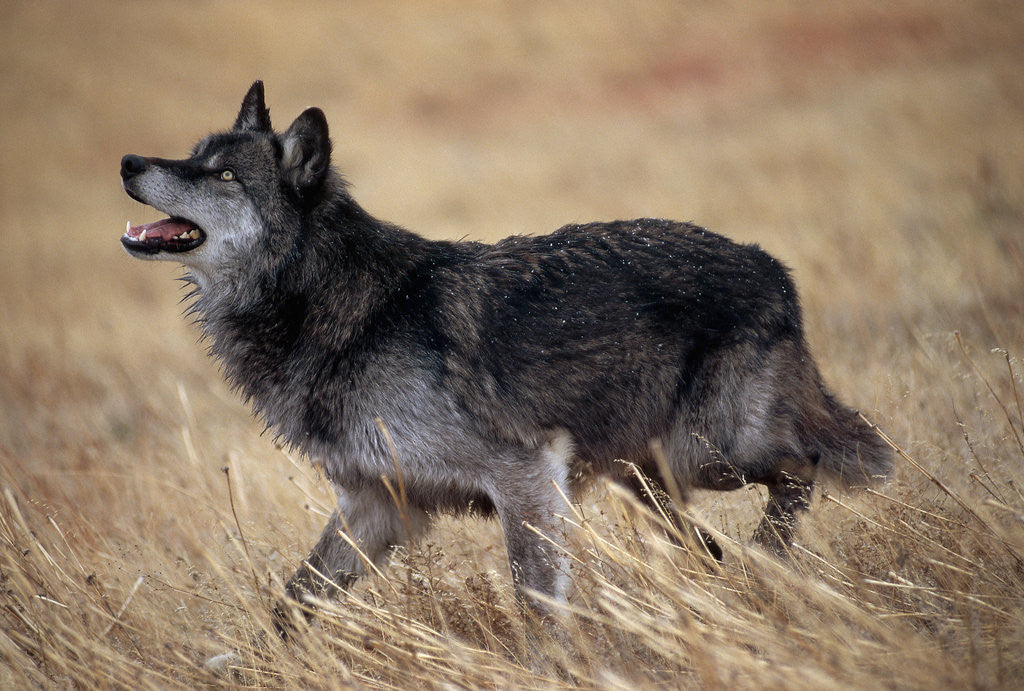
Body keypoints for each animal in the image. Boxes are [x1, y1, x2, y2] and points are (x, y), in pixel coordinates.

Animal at [120, 81, 892, 624]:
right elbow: (290, 602)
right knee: (713, 546)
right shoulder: (379, 504)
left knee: (816, 462)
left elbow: (537, 606)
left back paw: (772, 561)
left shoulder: (524, 478)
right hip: (648, 480)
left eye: (224, 176)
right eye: (192, 155)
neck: (337, 304)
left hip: (708, 453)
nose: (128, 160)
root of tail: (773, 265)